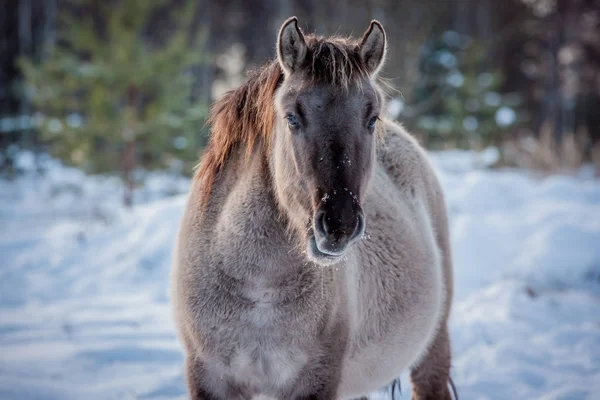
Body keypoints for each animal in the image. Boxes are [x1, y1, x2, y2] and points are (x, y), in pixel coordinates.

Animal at [171, 16, 452, 400]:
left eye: (371, 119)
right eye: (292, 117)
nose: (339, 224)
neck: (259, 287)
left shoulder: (316, 381)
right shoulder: (209, 379)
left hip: (433, 347)